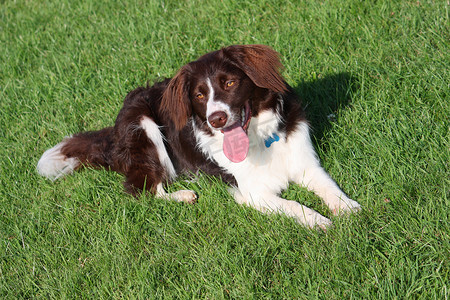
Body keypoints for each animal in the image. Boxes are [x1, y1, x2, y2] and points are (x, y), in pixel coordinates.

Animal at [38, 44, 362, 227]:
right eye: (199, 95)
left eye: (230, 83)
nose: (216, 119)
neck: (259, 137)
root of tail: (112, 134)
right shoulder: (252, 192)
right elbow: (294, 204)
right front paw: (320, 221)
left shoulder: (305, 162)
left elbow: (329, 186)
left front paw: (348, 209)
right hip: (142, 124)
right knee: (142, 188)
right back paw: (182, 195)